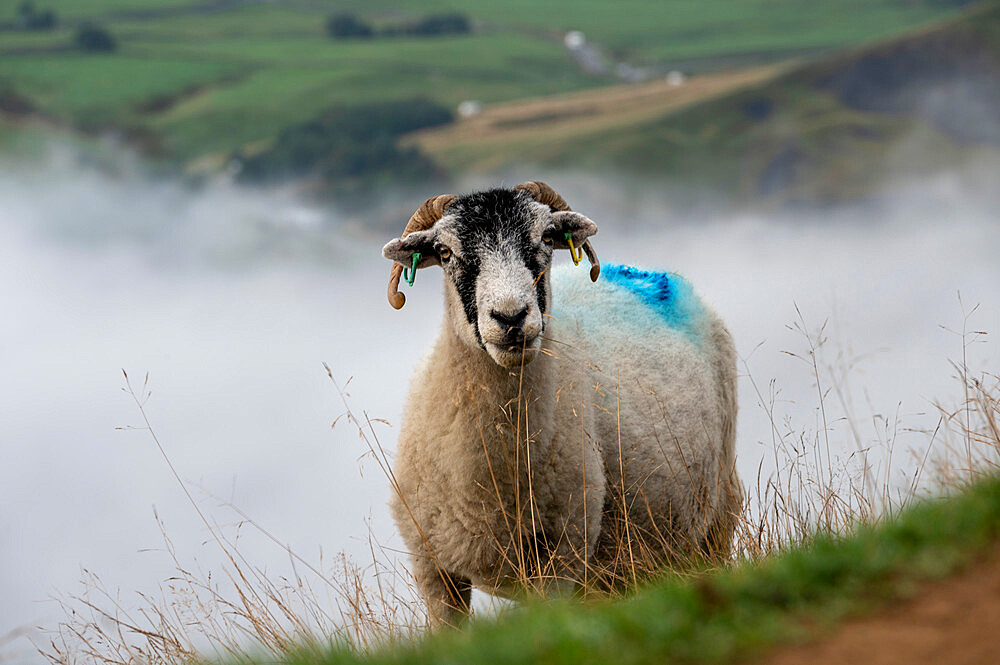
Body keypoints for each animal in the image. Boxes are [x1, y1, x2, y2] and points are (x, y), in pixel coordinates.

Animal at [378, 180, 740, 624]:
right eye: (445, 252)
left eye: (547, 237)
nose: (511, 317)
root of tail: (646, 272)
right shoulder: (434, 570)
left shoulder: (560, 559)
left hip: (713, 518)